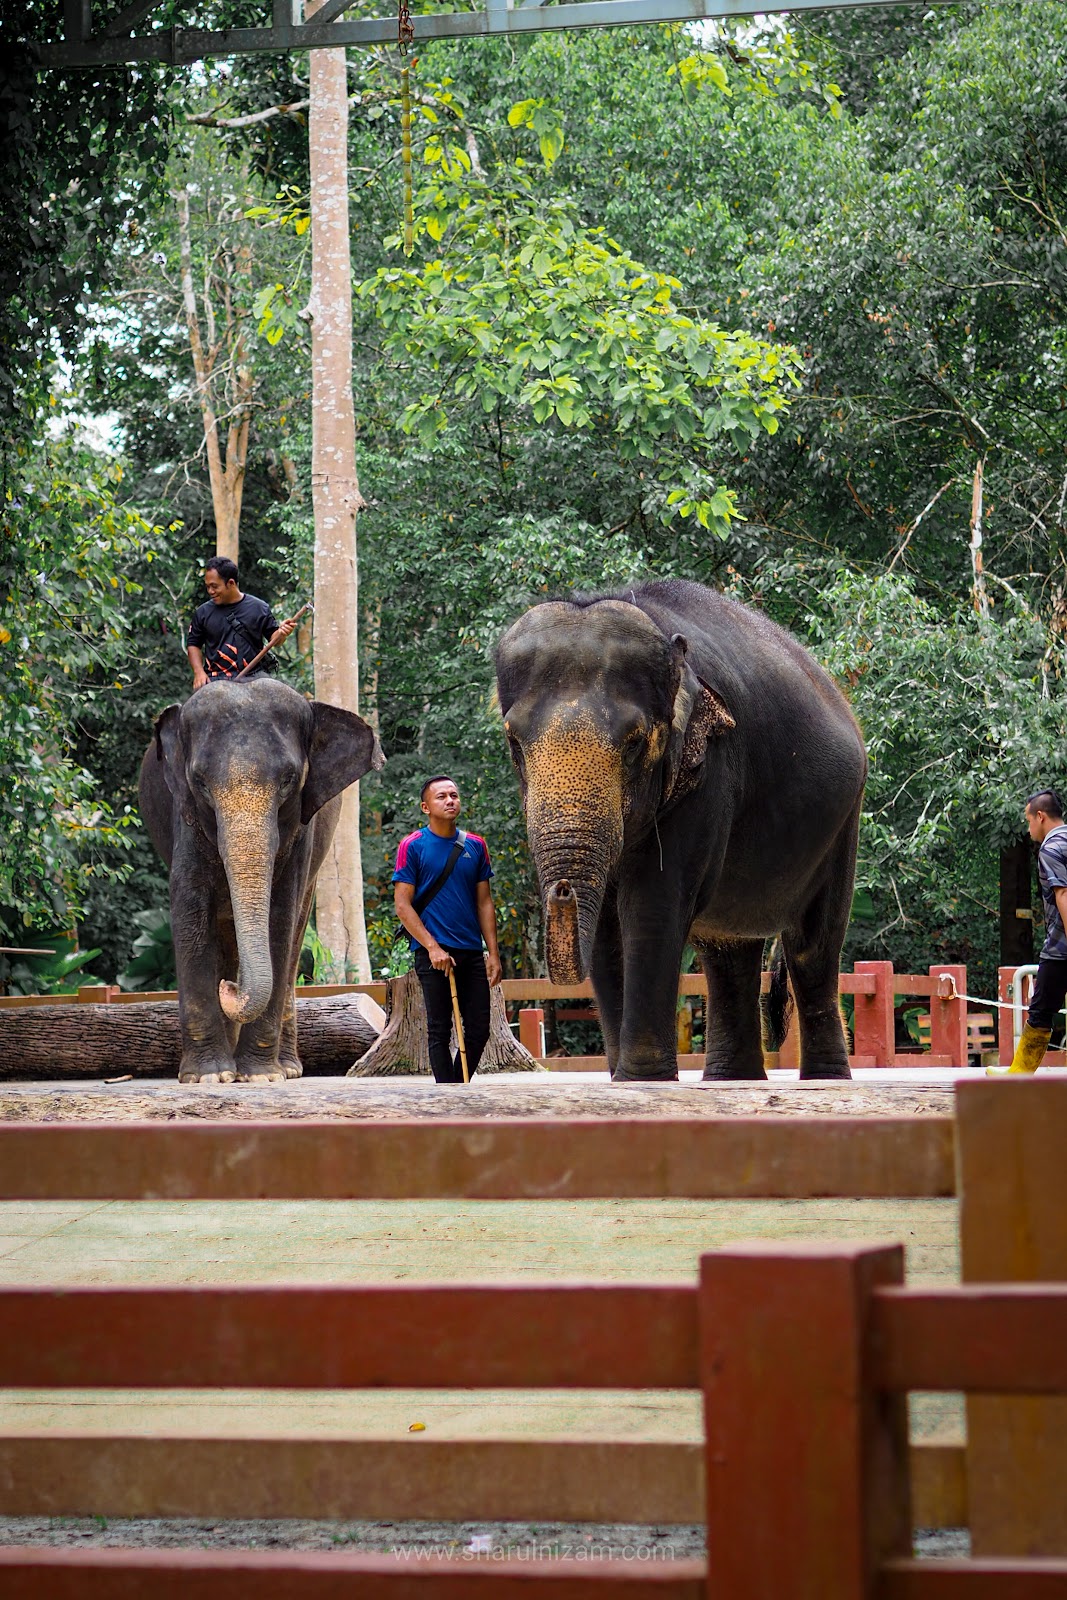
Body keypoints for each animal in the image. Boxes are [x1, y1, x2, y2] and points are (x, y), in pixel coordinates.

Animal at [139, 681, 385, 1081]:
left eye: (288, 780)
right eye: (200, 782)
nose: (230, 988)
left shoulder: (302, 829)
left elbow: (281, 917)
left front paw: (260, 1075)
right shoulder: (184, 816)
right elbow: (190, 909)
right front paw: (209, 1076)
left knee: (295, 937)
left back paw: (287, 1068)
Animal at [499, 579, 870, 1088]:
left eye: (634, 742)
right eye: (513, 743)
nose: (561, 890)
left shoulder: (709, 771)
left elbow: (651, 907)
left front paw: (643, 1081)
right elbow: (609, 924)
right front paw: (625, 1082)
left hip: (843, 821)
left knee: (813, 943)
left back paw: (824, 1080)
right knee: (727, 950)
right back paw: (732, 1081)